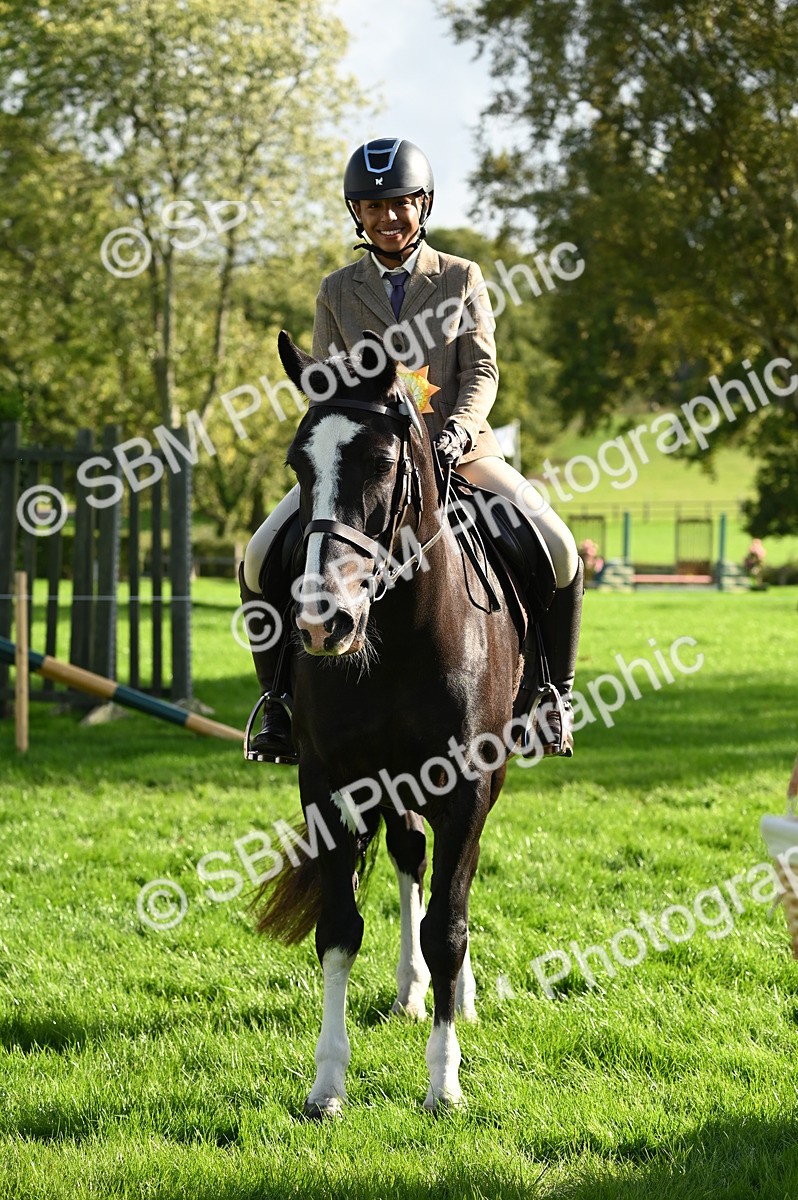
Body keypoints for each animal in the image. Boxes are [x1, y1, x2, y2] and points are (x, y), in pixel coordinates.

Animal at [255, 329, 545, 1116]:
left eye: (383, 463)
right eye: (298, 464)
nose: (321, 623)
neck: (398, 635)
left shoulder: (467, 787)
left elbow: (449, 925)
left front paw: (444, 1084)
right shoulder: (328, 783)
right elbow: (338, 927)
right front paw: (327, 1084)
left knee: (451, 886)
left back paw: (455, 995)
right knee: (411, 856)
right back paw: (411, 991)